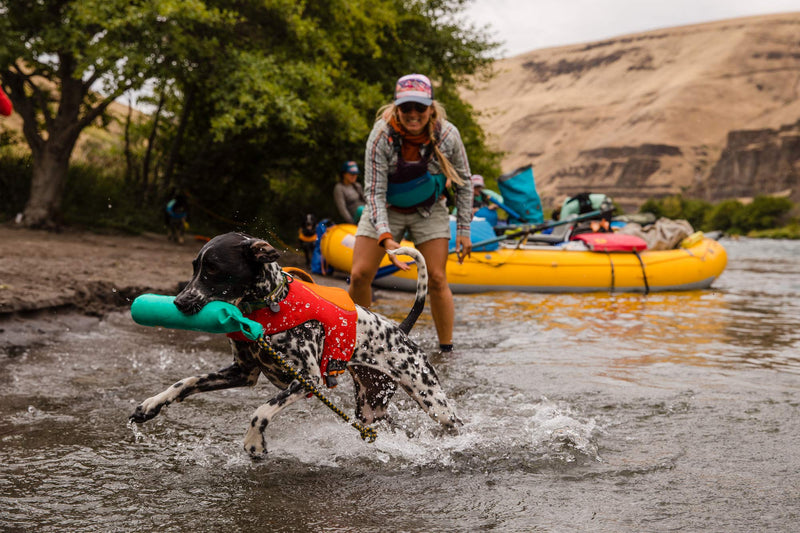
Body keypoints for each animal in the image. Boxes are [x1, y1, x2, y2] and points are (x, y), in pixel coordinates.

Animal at [128, 231, 460, 456]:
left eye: (213, 268)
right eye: (195, 266)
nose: (180, 302)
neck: (269, 305)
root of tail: (401, 330)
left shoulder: (307, 380)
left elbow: (261, 412)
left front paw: (254, 443)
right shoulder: (241, 373)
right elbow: (185, 382)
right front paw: (151, 405)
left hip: (433, 401)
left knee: (453, 423)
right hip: (370, 409)